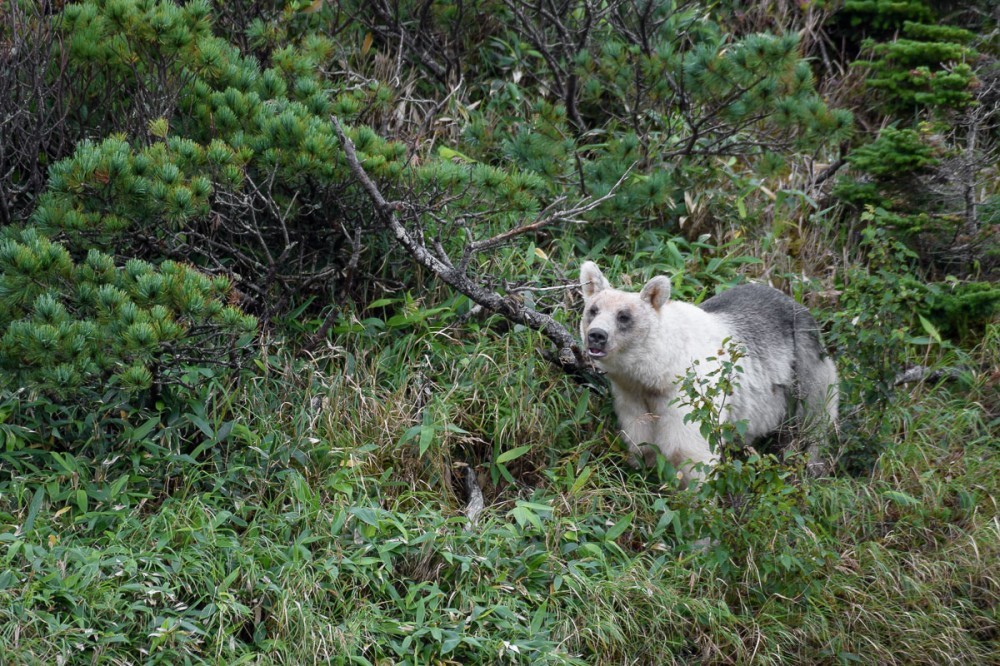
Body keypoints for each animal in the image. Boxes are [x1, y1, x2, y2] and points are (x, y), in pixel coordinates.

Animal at [580, 260, 836, 482]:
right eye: (593, 310)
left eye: (624, 316)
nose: (597, 335)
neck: (658, 372)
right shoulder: (630, 394)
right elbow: (640, 438)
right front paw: (642, 469)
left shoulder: (689, 394)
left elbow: (688, 450)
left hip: (805, 364)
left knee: (816, 414)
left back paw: (813, 464)